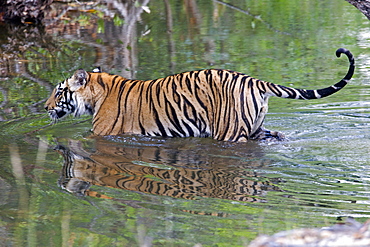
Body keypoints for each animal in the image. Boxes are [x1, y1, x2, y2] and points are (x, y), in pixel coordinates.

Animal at [44, 47, 354, 143]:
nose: (45, 107)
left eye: (59, 91)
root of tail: (253, 80)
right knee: (273, 135)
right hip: (255, 127)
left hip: (230, 132)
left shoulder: (102, 133)